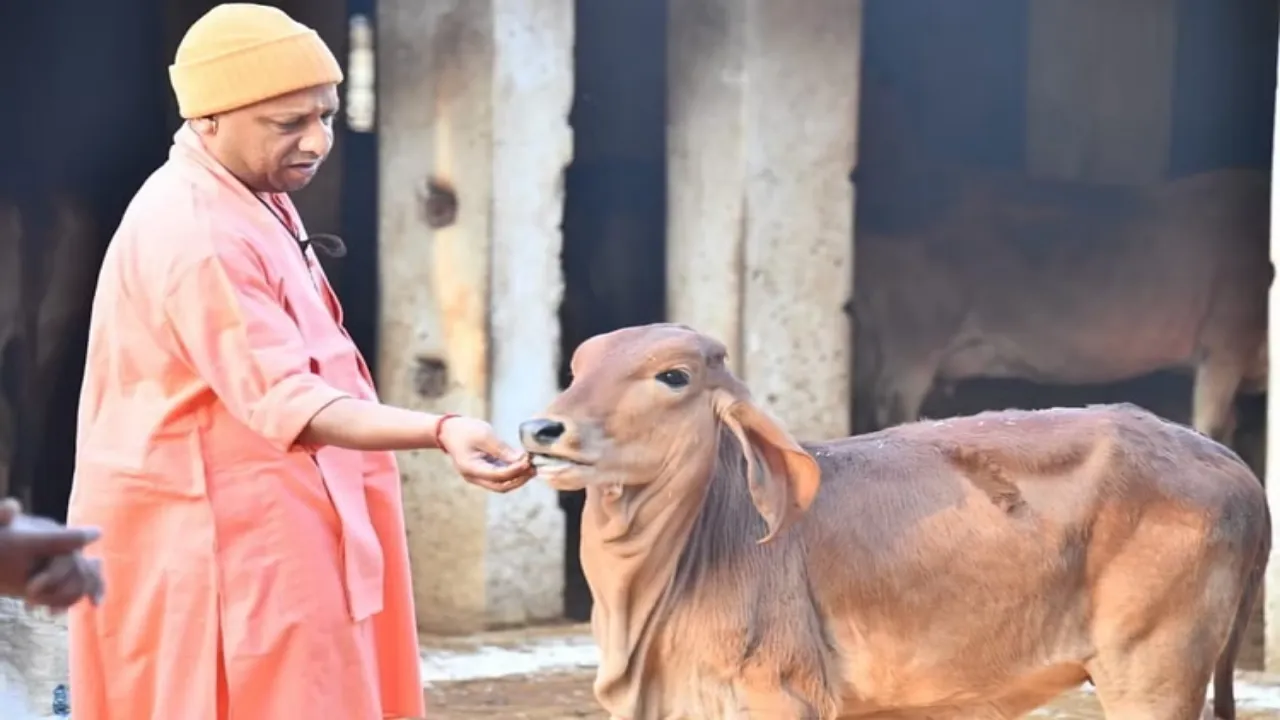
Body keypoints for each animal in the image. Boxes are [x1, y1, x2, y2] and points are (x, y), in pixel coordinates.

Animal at [517, 324, 1269, 717]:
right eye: (577, 367)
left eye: (672, 376)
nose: (540, 428)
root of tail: (1235, 467)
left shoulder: (781, 695)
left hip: (1151, 672)